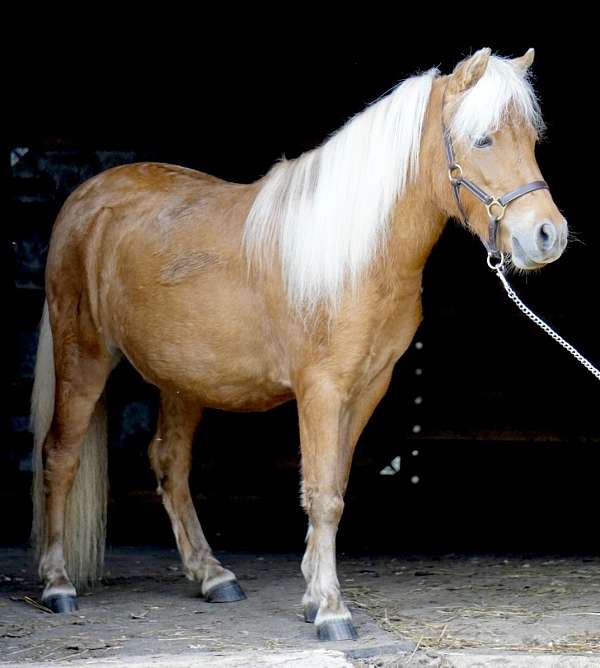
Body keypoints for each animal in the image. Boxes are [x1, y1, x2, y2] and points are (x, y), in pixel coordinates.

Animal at [31, 47, 568, 641]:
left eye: (532, 139)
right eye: (483, 140)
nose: (548, 236)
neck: (358, 251)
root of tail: (86, 199)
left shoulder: (366, 389)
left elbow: (335, 485)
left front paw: (314, 595)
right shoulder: (321, 391)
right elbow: (323, 495)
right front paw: (331, 610)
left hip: (184, 381)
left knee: (169, 463)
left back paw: (212, 576)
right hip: (84, 359)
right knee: (59, 456)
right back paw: (57, 584)